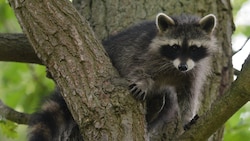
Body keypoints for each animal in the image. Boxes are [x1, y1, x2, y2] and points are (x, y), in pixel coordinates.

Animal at [26, 12, 215, 140]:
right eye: (175, 47)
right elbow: (139, 69)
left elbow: (187, 95)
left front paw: (187, 118)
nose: (183, 66)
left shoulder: (192, 71)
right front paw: (142, 83)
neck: (173, 66)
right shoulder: (145, 54)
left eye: (194, 48)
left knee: (168, 101)